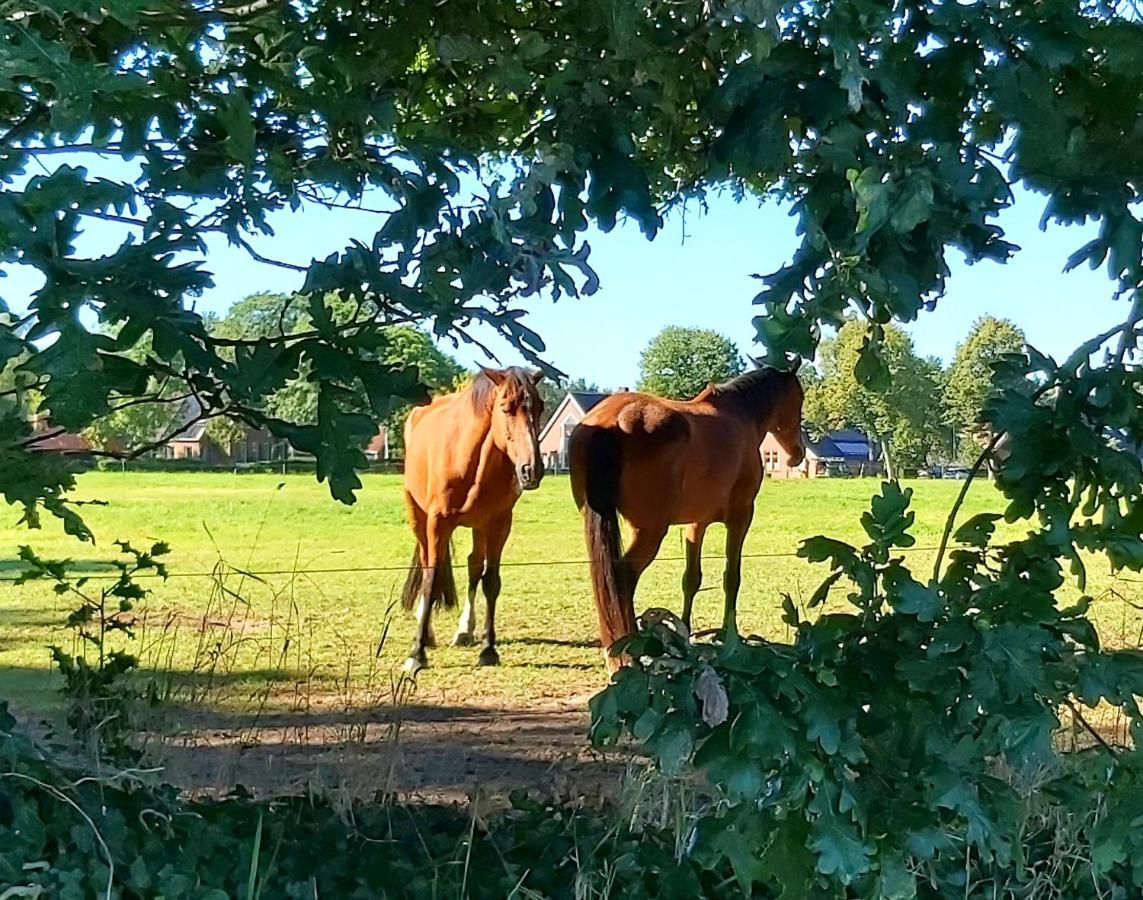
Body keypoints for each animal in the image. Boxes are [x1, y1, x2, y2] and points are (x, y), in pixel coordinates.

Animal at [400, 363, 546, 667]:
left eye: (540, 407)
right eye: (505, 407)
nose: (532, 470)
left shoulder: (499, 523)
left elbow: (491, 581)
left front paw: (489, 650)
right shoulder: (437, 522)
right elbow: (430, 579)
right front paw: (416, 653)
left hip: (479, 526)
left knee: (474, 565)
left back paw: (465, 630)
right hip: (418, 517)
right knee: (428, 562)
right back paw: (427, 632)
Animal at [569, 363, 804, 667]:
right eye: (799, 399)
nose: (797, 455)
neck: (741, 416)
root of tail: (611, 421)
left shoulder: (696, 523)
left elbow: (691, 579)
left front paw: (685, 633)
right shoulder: (741, 518)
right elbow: (732, 578)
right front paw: (729, 635)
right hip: (649, 532)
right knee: (623, 579)